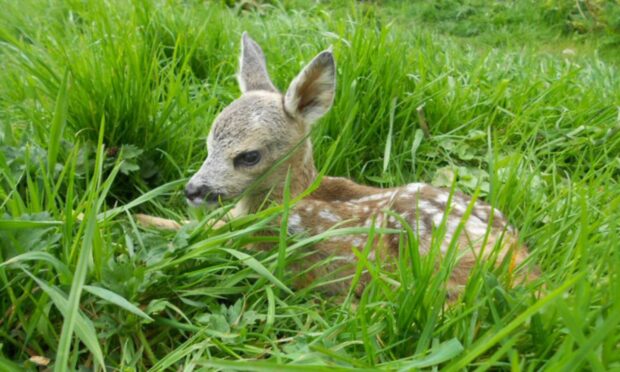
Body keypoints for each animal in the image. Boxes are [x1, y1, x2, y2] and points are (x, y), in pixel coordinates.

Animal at [137, 33, 536, 298]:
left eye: (249, 156)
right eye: (208, 143)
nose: (193, 190)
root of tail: (517, 252)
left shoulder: (257, 242)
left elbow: (192, 232)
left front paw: (133, 216)